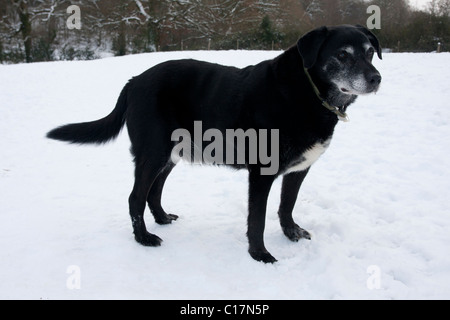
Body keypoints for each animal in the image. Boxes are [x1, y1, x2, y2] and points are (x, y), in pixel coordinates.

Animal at [47, 25, 382, 264]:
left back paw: (162, 219)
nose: (376, 78)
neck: (309, 92)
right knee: (135, 198)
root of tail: (134, 80)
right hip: (153, 153)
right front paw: (260, 255)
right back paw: (144, 238)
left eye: (369, 52)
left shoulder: (299, 169)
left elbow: (287, 206)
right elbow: (257, 219)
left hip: (170, 155)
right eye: (342, 55)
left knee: (154, 192)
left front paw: (291, 233)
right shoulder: (261, 173)